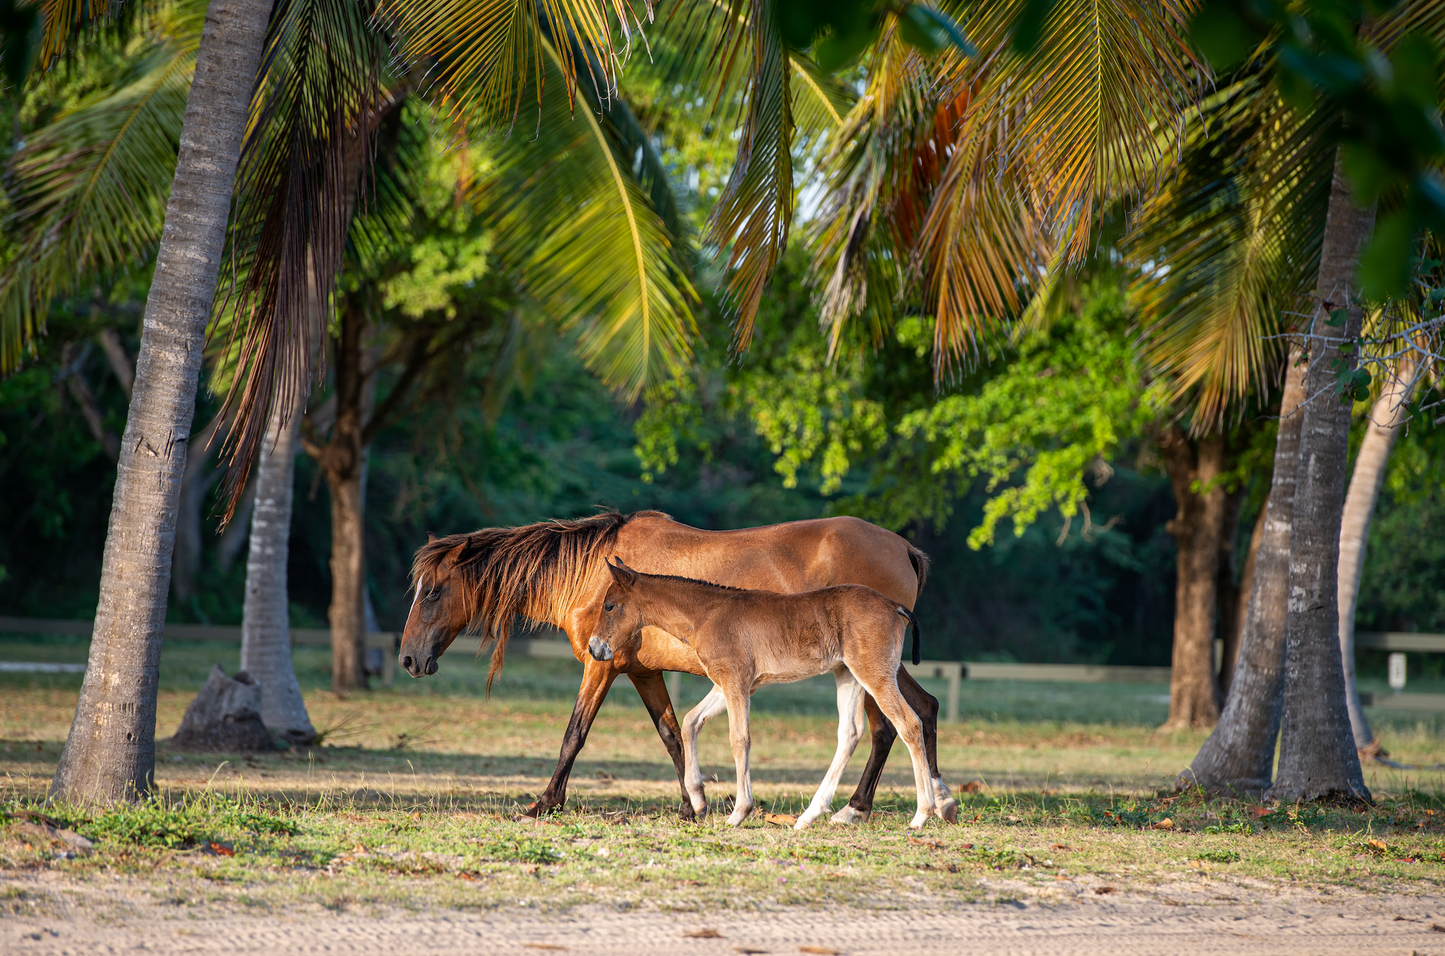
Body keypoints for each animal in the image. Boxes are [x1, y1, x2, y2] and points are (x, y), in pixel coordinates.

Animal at [586, 563, 936, 831]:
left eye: (609, 605)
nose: (594, 648)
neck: (708, 614)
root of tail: (893, 606)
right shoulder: (732, 684)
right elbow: (690, 721)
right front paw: (698, 800)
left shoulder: (735, 682)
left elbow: (739, 739)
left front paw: (739, 812)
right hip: (847, 674)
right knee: (850, 733)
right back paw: (808, 816)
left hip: (873, 673)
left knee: (909, 724)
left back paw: (922, 814)